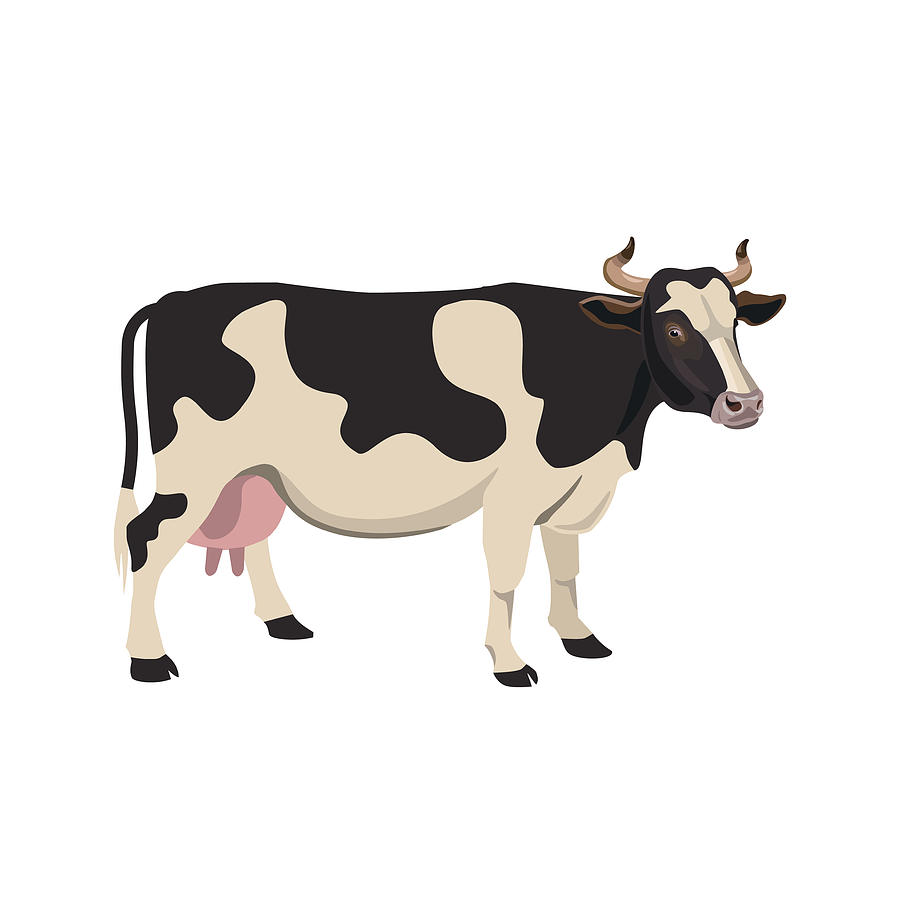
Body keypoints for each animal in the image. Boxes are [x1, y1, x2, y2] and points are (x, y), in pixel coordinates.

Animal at [114, 239, 785, 685]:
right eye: (672, 329)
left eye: (735, 324)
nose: (745, 403)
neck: (612, 435)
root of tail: (172, 300)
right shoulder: (515, 490)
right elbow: (508, 575)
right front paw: (510, 664)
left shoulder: (574, 486)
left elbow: (566, 566)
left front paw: (579, 639)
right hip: (193, 468)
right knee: (146, 537)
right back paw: (149, 660)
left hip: (253, 470)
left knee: (252, 534)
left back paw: (284, 622)